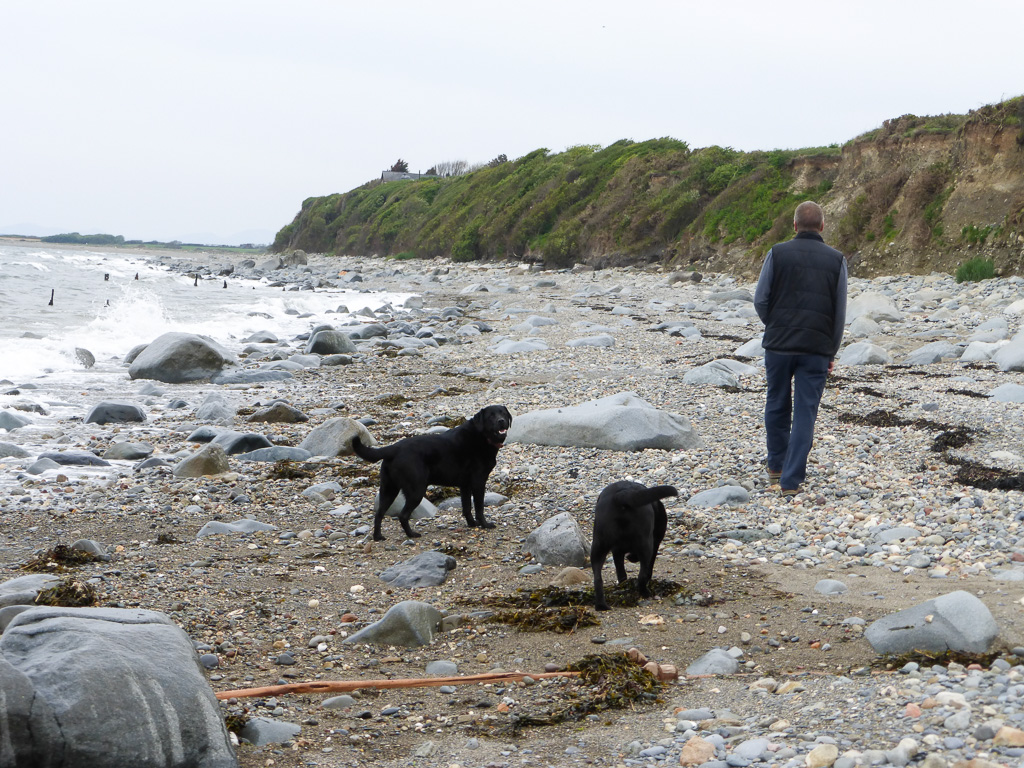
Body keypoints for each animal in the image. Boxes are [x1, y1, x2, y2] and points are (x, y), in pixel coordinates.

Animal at [352, 403, 512, 540]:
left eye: (503, 413)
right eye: (491, 416)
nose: (501, 421)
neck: (482, 436)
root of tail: (394, 448)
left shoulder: (465, 485)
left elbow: (466, 507)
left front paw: (472, 524)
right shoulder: (478, 482)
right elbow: (479, 508)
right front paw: (485, 524)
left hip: (389, 489)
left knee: (379, 514)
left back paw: (378, 537)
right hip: (416, 490)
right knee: (403, 515)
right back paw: (412, 535)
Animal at [589, 481, 675, 614]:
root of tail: (621, 495)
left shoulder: (616, 550)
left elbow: (621, 573)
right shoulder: (654, 543)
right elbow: (647, 570)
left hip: (598, 545)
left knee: (598, 579)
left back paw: (601, 605)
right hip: (646, 543)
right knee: (642, 575)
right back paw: (645, 593)